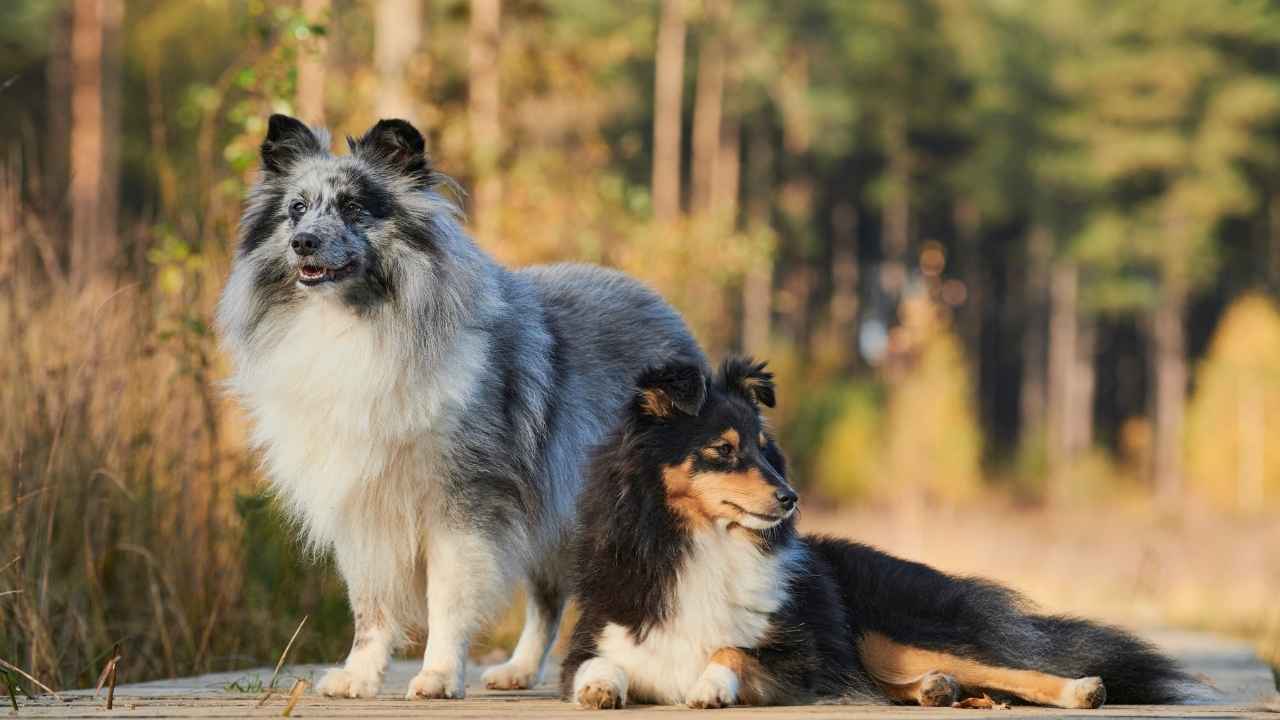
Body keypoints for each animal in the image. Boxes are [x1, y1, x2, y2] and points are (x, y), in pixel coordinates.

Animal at [563, 356, 1208, 702]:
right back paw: (935, 689)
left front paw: (710, 686)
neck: (703, 545)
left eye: (766, 450)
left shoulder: (801, 657)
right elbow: (597, 665)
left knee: (1010, 667)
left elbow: (730, 648)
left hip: (885, 630)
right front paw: (600, 689)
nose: (790, 499)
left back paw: (1079, 690)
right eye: (723, 450)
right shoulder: (603, 634)